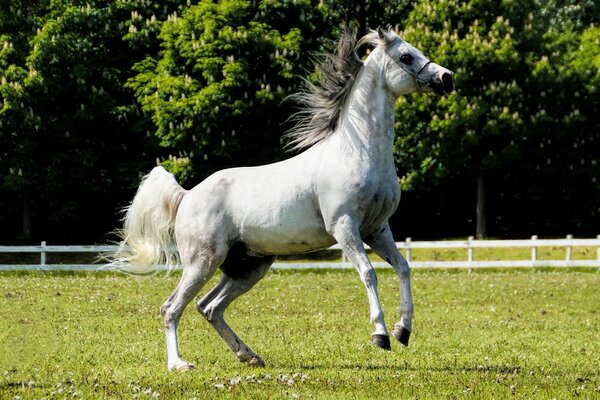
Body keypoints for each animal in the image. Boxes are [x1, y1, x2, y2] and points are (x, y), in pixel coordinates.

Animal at [112, 27, 452, 372]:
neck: (357, 152)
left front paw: (403, 330)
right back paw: (179, 364)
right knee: (171, 308)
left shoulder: (377, 229)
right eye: (406, 56)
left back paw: (249, 356)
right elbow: (368, 273)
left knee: (210, 307)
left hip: (248, 267)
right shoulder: (345, 227)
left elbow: (403, 267)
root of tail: (187, 195)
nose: (446, 77)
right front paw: (380, 335)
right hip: (202, 262)